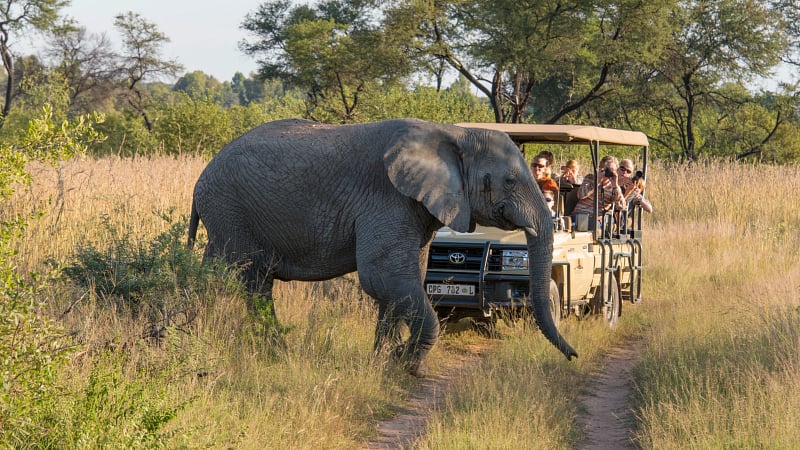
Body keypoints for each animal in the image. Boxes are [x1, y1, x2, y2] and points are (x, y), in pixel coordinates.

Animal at [187, 118, 577, 375]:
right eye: (509, 181)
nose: (574, 357)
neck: (455, 133)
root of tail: (200, 179)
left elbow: (402, 280)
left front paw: (383, 361)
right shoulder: (387, 199)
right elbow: (384, 277)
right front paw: (405, 364)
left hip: (226, 217)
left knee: (227, 279)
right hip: (230, 212)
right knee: (249, 281)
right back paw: (261, 351)